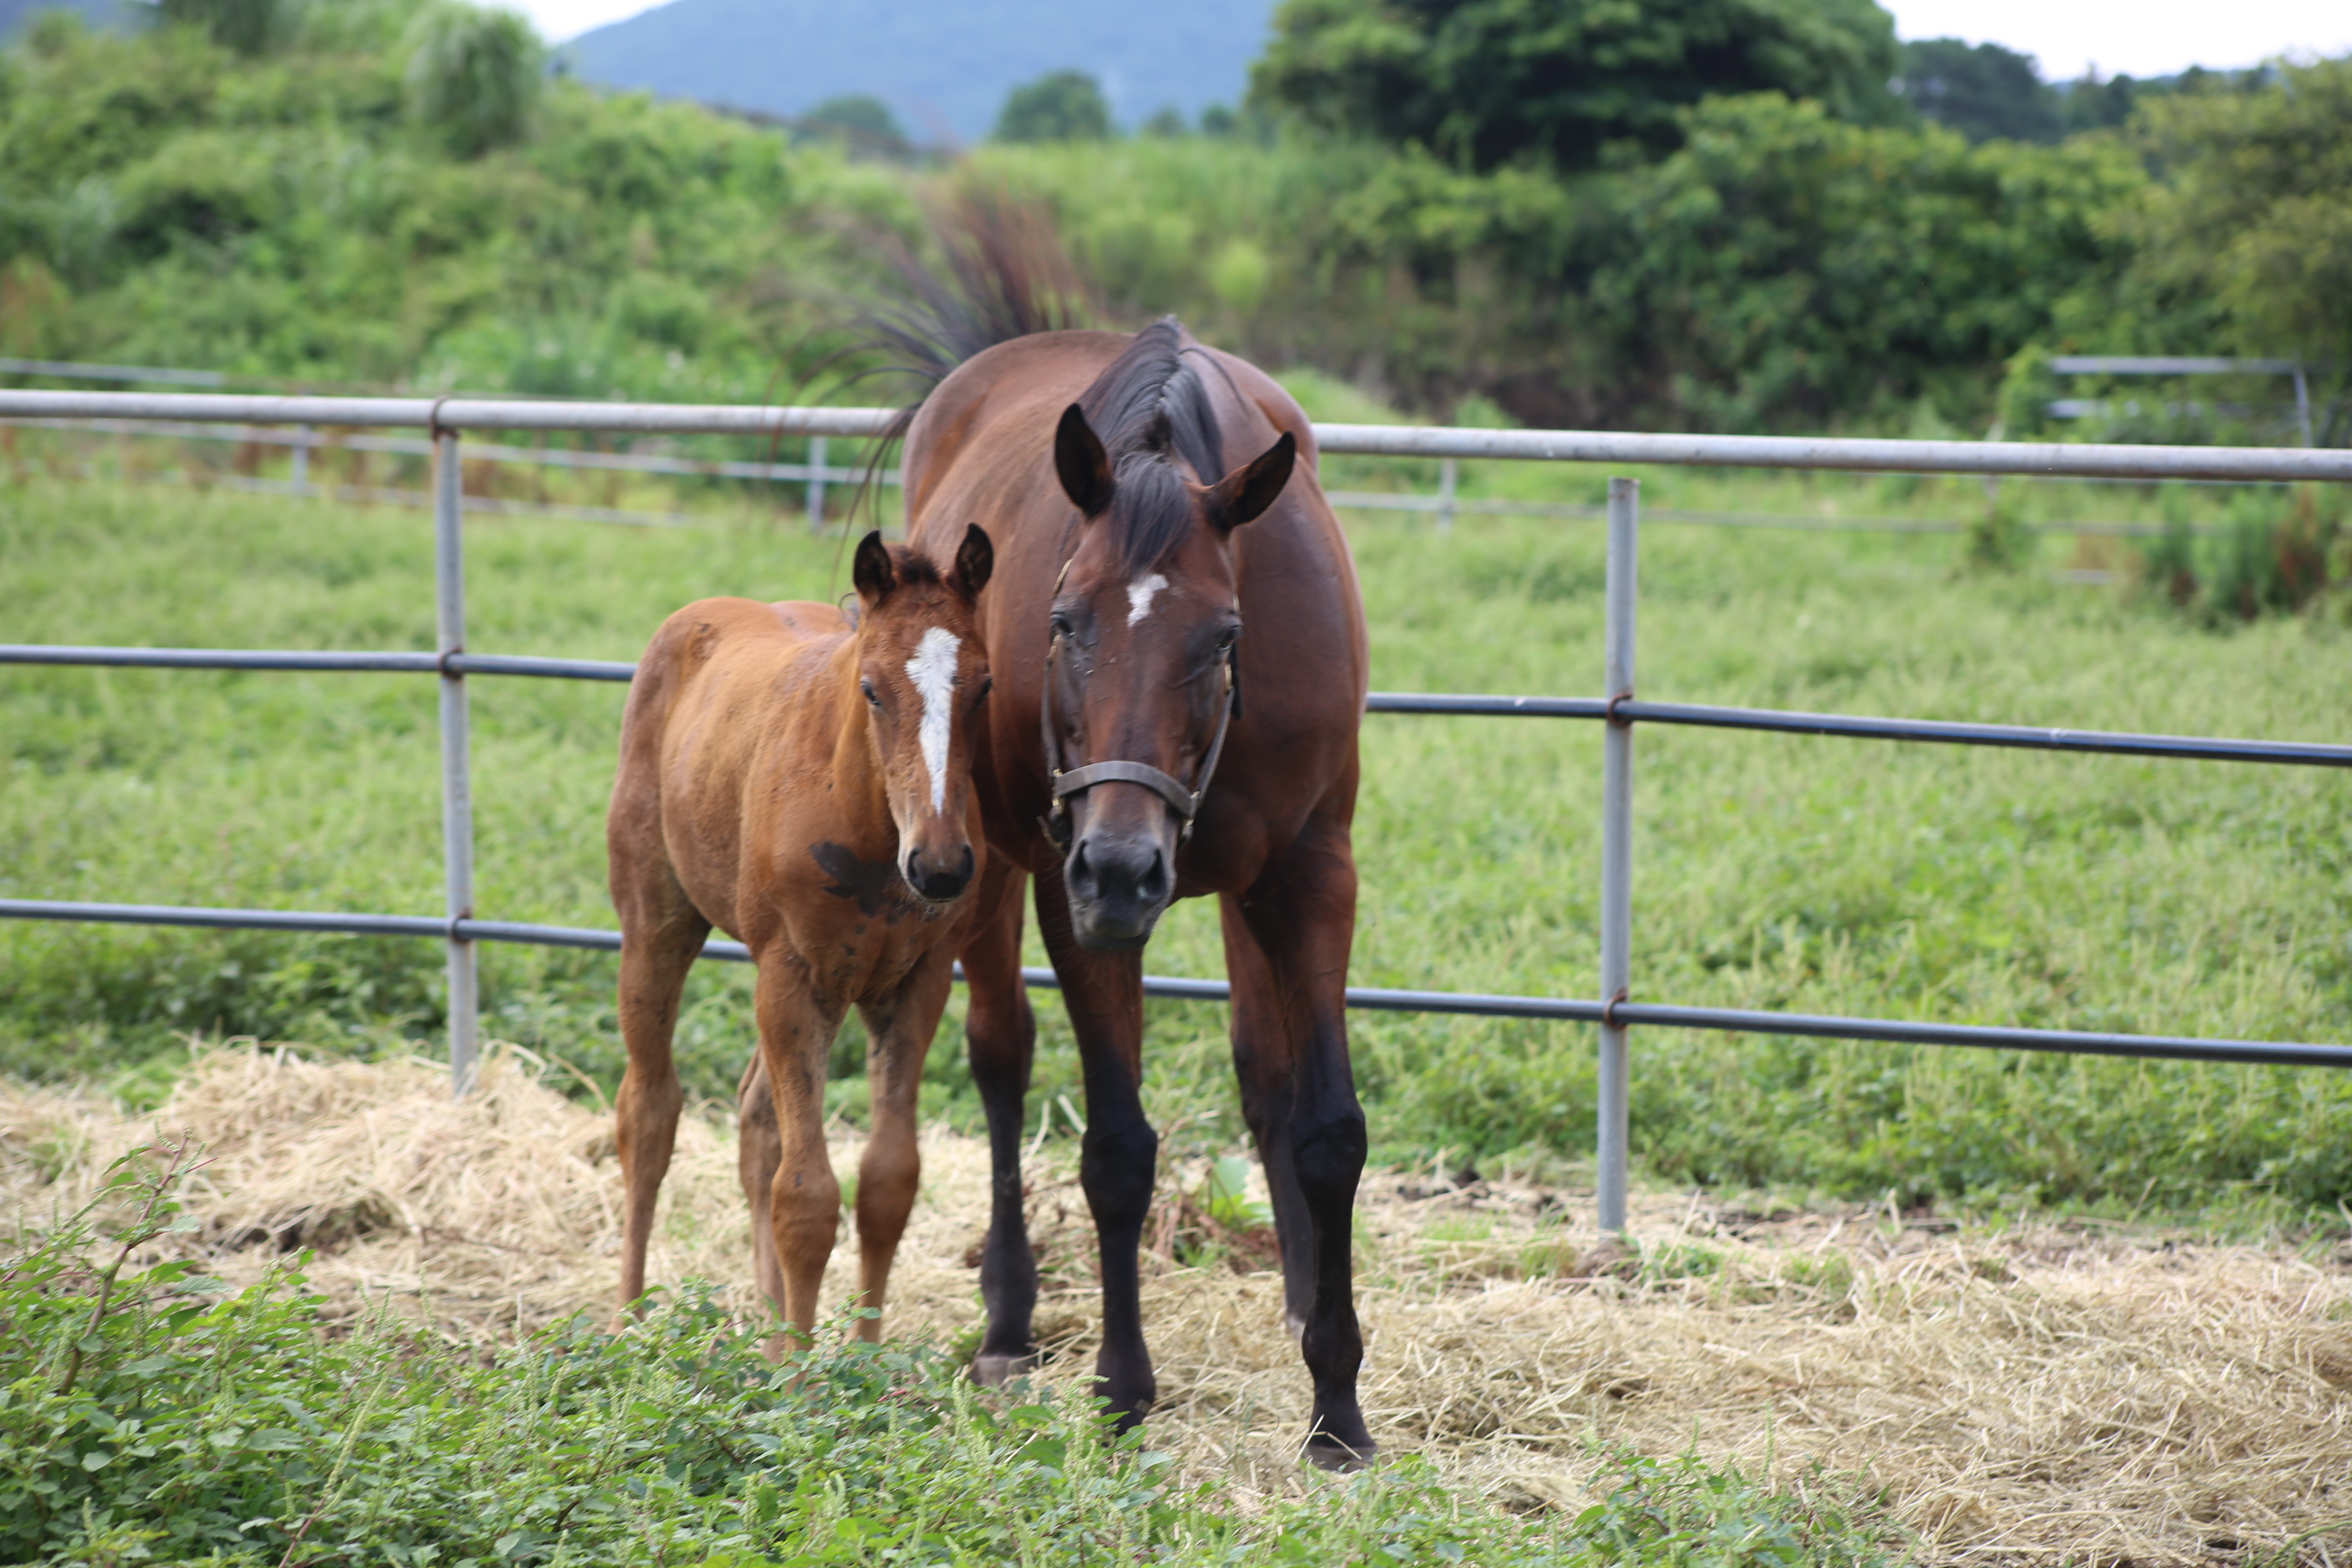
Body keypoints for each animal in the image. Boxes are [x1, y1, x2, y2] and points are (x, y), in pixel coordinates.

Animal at [607, 533, 992, 1345]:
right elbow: (807, 1196)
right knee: (649, 1113)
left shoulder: (917, 982)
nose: (942, 866)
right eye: (872, 689)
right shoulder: (792, 976)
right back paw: (629, 1321)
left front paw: (860, 1358)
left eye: (983, 687)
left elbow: (887, 1182)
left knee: (756, 1115)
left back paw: (769, 1319)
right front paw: (801, 1373)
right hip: (656, 925)